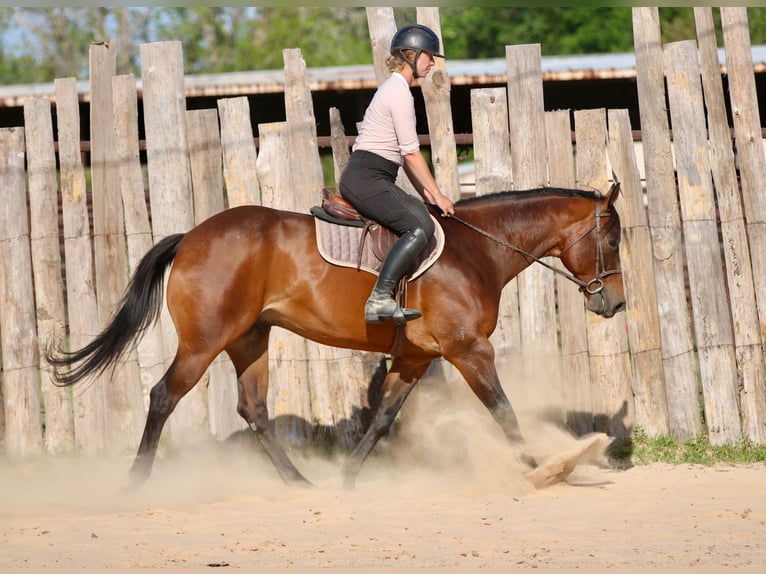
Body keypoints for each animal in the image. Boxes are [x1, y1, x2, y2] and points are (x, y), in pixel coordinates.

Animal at [46, 183, 625, 489]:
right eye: (613, 239)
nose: (615, 303)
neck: (477, 250)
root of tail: (191, 236)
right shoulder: (469, 351)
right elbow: (502, 410)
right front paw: (543, 469)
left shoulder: (416, 358)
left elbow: (383, 418)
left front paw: (348, 477)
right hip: (204, 343)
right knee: (164, 395)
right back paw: (137, 481)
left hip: (250, 339)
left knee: (254, 409)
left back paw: (299, 482)